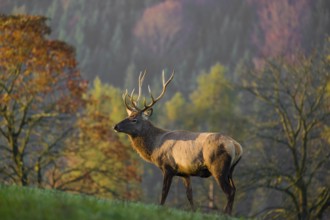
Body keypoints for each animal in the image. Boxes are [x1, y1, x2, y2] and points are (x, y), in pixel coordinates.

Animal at [113, 71, 242, 215]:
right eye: (128, 116)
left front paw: (160, 209)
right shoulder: (184, 172)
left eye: (134, 119)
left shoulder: (167, 167)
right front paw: (194, 212)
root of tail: (237, 147)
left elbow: (164, 193)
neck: (154, 147)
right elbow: (189, 195)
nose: (116, 126)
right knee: (234, 189)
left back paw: (225, 214)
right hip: (231, 170)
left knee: (229, 192)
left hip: (218, 167)